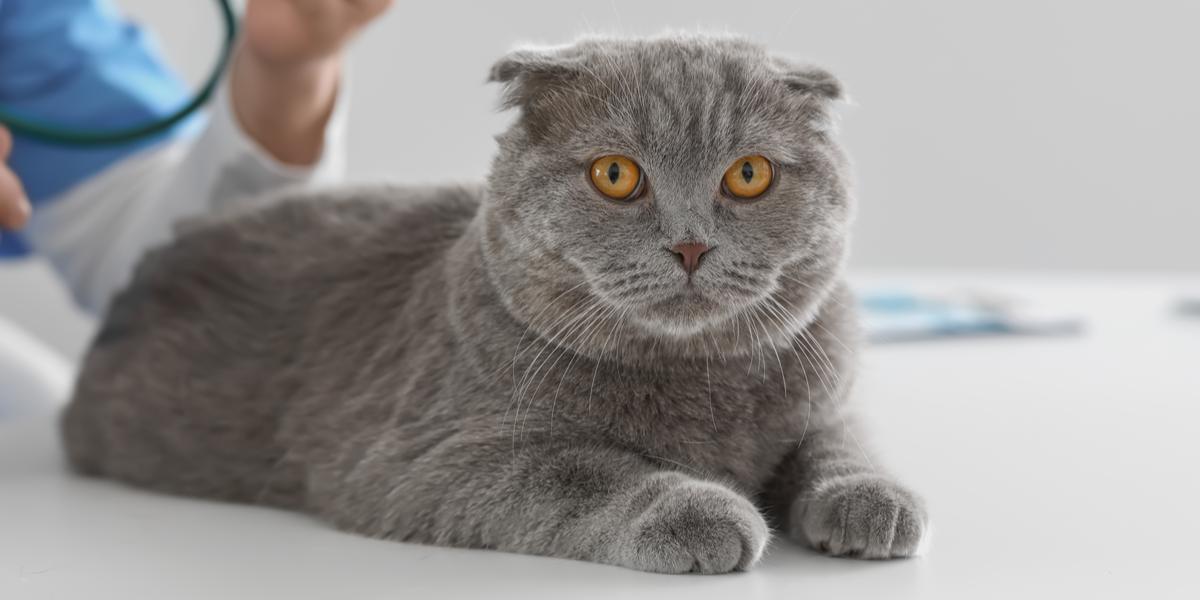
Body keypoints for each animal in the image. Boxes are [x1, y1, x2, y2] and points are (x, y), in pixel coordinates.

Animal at [60, 34, 926, 576]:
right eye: (617, 175)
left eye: (748, 175)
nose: (689, 245)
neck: (703, 386)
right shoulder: (424, 455)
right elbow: (580, 470)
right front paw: (698, 511)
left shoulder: (823, 381)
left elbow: (840, 438)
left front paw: (873, 499)